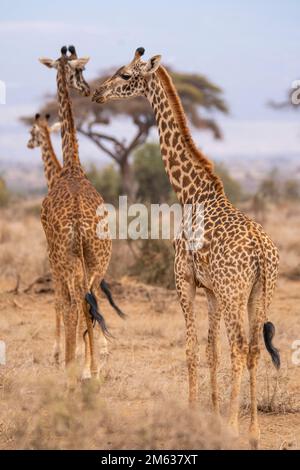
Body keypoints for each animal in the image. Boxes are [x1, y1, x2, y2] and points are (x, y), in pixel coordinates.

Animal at [25, 112, 124, 366]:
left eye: (32, 132)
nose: (28, 144)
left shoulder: (53, 259)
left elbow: (58, 301)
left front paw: (58, 351)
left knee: (79, 301)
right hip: (92, 261)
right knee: (92, 297)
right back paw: (98, 350)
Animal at [92, 47, 280, 448]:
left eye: (125, 74)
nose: (97, 94)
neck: (190, 193)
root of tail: (261, 251)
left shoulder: (184, 280)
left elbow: (191, 349)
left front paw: (196, 415)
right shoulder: (209, 289)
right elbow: (210, 350)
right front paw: (211, 414)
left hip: (234, 293)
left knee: (239, 347)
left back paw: (235, 427)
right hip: (259, 292)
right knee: (253, 349)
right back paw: (254, 432)